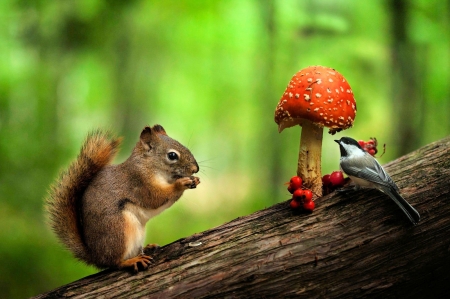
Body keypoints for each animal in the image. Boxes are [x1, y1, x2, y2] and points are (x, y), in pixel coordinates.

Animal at [45, 125, 200, 274]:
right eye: (172, 155)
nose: (195, 169)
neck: (148, 165)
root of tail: (96, 256)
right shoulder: (140, 183)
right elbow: (155, 198)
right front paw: (181, 183)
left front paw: (195, 180)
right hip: (118, 229)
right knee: (115, 262)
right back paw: (131, 261)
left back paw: (147, 248)